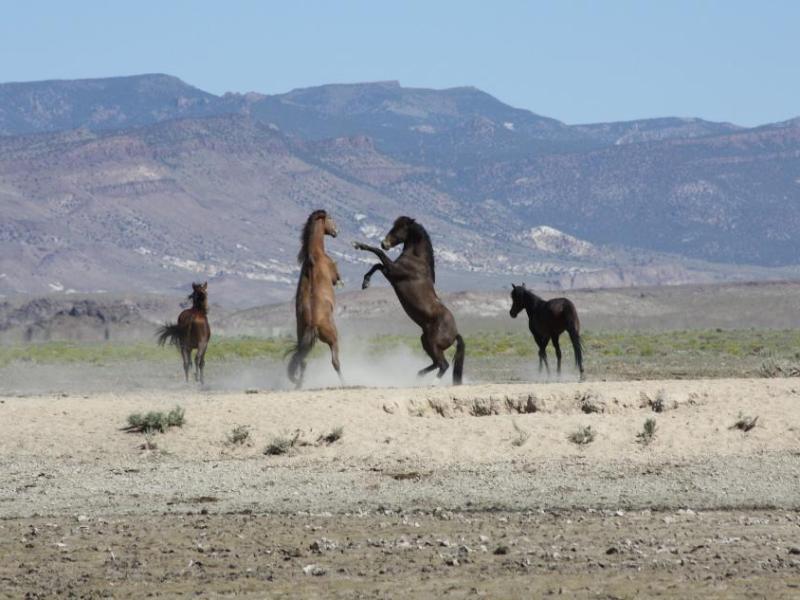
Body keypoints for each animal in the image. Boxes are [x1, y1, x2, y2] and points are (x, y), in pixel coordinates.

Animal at [287, 209, 343, 388]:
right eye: (330, 219)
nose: (336, 231)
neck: (315, 255)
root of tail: (313, 324)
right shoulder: (334, 275)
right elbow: (337, 277)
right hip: (332, 338)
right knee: (335, 362)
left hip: (303, 339)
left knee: (302, 361)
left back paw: (299, 385)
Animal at [354, 216, 465, 385]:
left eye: (399, 228)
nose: (384, 243)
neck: (416, 259)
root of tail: (455, 333)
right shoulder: (390, 272)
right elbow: (377, 264)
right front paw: (365, 283)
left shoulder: (393, 271)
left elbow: (378, 256)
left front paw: (359, 245)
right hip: (425, 341)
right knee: (436, 363)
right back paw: (419, 375)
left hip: (433, 344)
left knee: (443, 364)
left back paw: (432, 384)